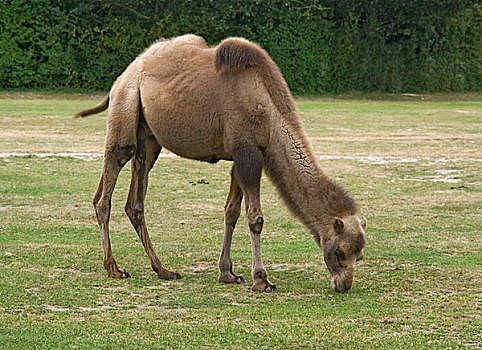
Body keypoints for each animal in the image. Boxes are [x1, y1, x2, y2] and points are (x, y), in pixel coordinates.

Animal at [77, 34, 368, 292]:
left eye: (360, 255)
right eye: (340, 252)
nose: (344, 286)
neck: (270, 112)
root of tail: (125, 74)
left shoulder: (243, 154)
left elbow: (232, 211)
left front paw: (228, 273)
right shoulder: (248, 151)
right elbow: (255, 218)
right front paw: (261, 280)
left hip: (148, 138)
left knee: (135, 199)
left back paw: (163, 269)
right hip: (125, 108)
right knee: (108, 186)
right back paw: (114, 269)